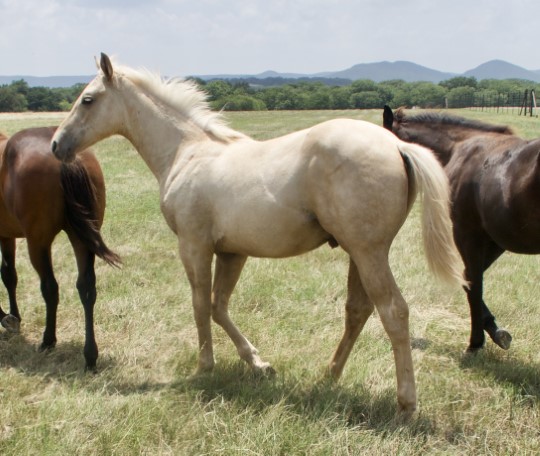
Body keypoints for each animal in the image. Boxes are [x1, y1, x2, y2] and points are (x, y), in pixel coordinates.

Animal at [0, 125, 119, 370]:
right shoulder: (7, 236)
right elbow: (9, 275)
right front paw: (13, 317)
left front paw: (7, 318)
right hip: (81, 238)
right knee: (86, 288)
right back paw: (90, 356)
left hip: (38, 243)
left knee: (50, 288)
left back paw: (48, 341)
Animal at [49, 53, 464, 414]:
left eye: (88, 100)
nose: (56, 144)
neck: (186, 151)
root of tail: (396, 145)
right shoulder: (233, 252)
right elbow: (218, 306)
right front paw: (259, 364)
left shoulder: (194, 245)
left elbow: (200, 305)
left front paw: (205, 366)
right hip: (359, 254)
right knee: (358, 310)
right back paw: (328, 376)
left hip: (368, 252)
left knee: (393, 311)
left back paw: (406, 403)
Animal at [384, 106, 540, 352]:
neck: (459, 147)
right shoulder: (496, 239)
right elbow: (469, 279)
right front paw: (495, 331)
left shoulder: (467, 232)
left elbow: (473, 283)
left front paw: (476, 341)